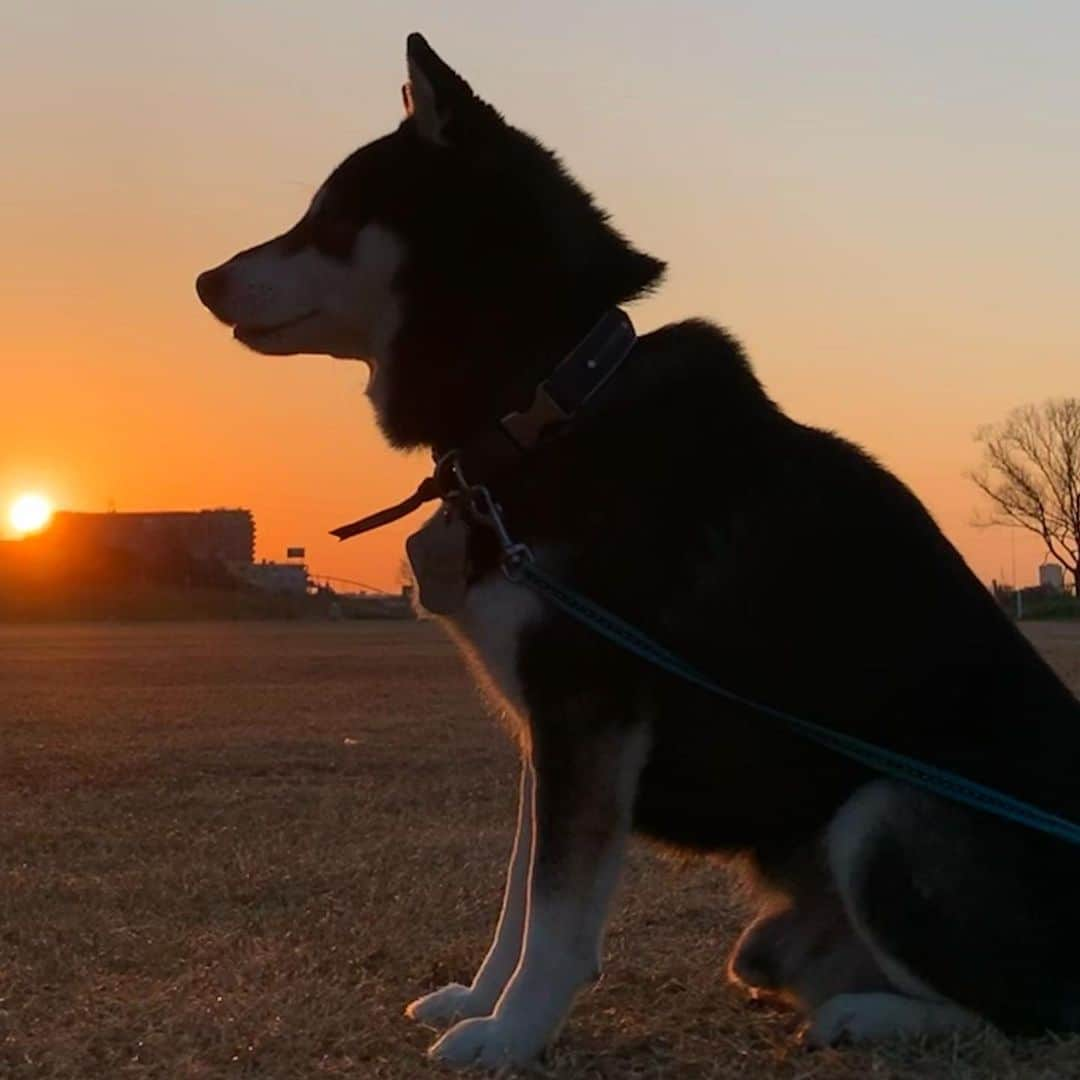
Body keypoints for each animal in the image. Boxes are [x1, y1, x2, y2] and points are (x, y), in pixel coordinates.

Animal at [196, 33, 1080, 1071]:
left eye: (331, 218)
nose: (203, 281)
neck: (541, 407)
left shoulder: (589, 709)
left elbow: (556, 910)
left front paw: (511, 1034)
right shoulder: (549, 730)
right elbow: (521, 896)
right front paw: (483, 1000)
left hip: (893, 813)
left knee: (1030, 1009)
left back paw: (866, 1019)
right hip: (770, 936)